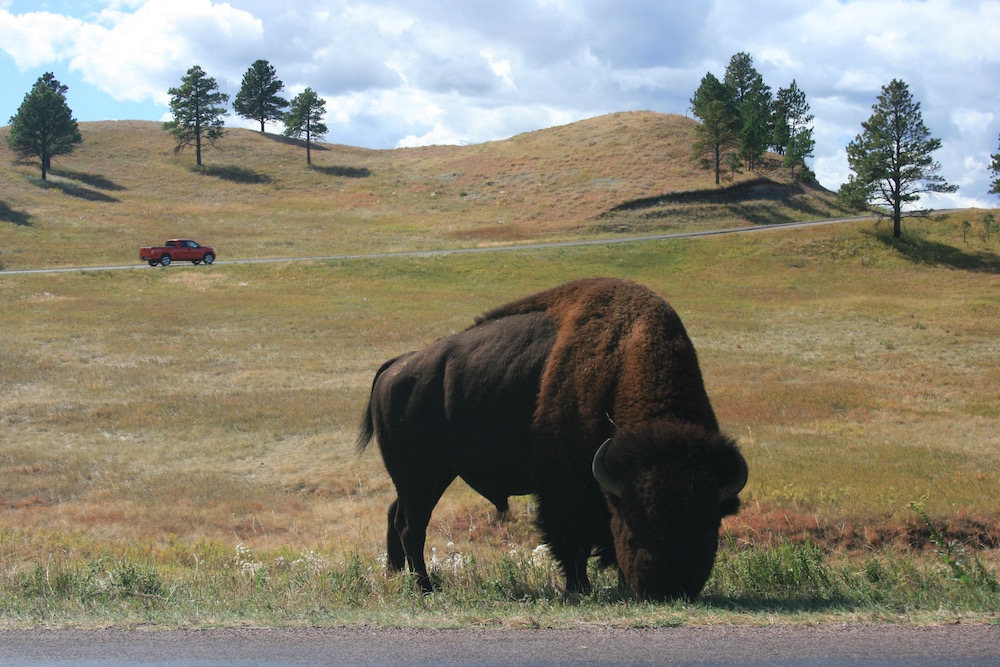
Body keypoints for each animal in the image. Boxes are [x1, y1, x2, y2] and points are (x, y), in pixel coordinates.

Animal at [356, 276, 748, 600]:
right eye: (635, 527)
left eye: (708, 528)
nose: (668, 588)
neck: (621, 358)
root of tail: (395, 367)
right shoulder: (568, 486)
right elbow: (572, 540)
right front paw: (579, 589)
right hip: (419, 475)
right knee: (411, 526)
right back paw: (425, 587)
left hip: (431, 475)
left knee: (396, 516)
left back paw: (395, 578)